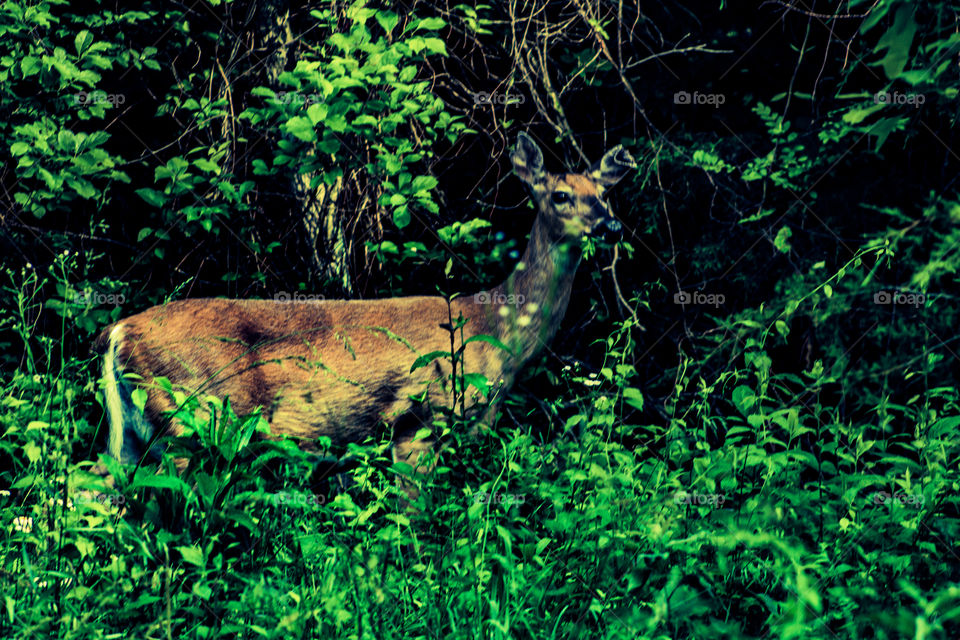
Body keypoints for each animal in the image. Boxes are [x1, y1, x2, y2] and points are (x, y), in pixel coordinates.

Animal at [93, 132, 635, 490]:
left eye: (605, 194)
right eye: (561, 195)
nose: (611, 226)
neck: (495, 328)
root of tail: (118, 332)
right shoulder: (420, 418)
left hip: (134, 435)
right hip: (189, 416)